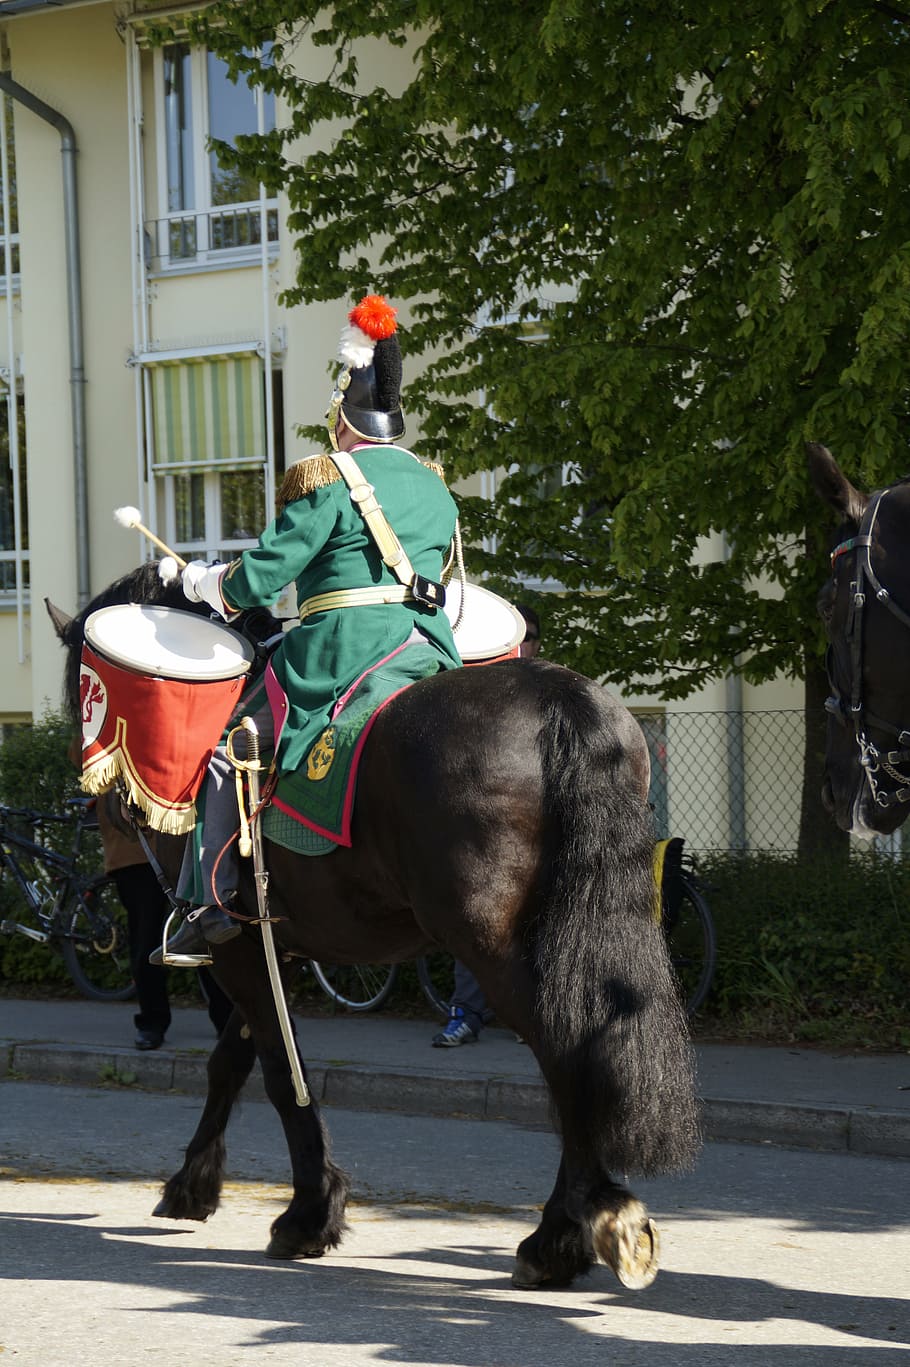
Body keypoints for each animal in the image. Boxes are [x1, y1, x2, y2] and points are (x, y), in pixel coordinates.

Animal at [49, 563, 696, 1290]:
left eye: (79, 688)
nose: (111, 807)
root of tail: (560, 696)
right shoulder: (270, 947)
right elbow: (231, 1063)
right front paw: (193, 1185)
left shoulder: (239, 944)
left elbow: (281, 1071)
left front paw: (307, 1214)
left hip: (501, 952)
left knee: (570, 1053)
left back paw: (560, 1235)